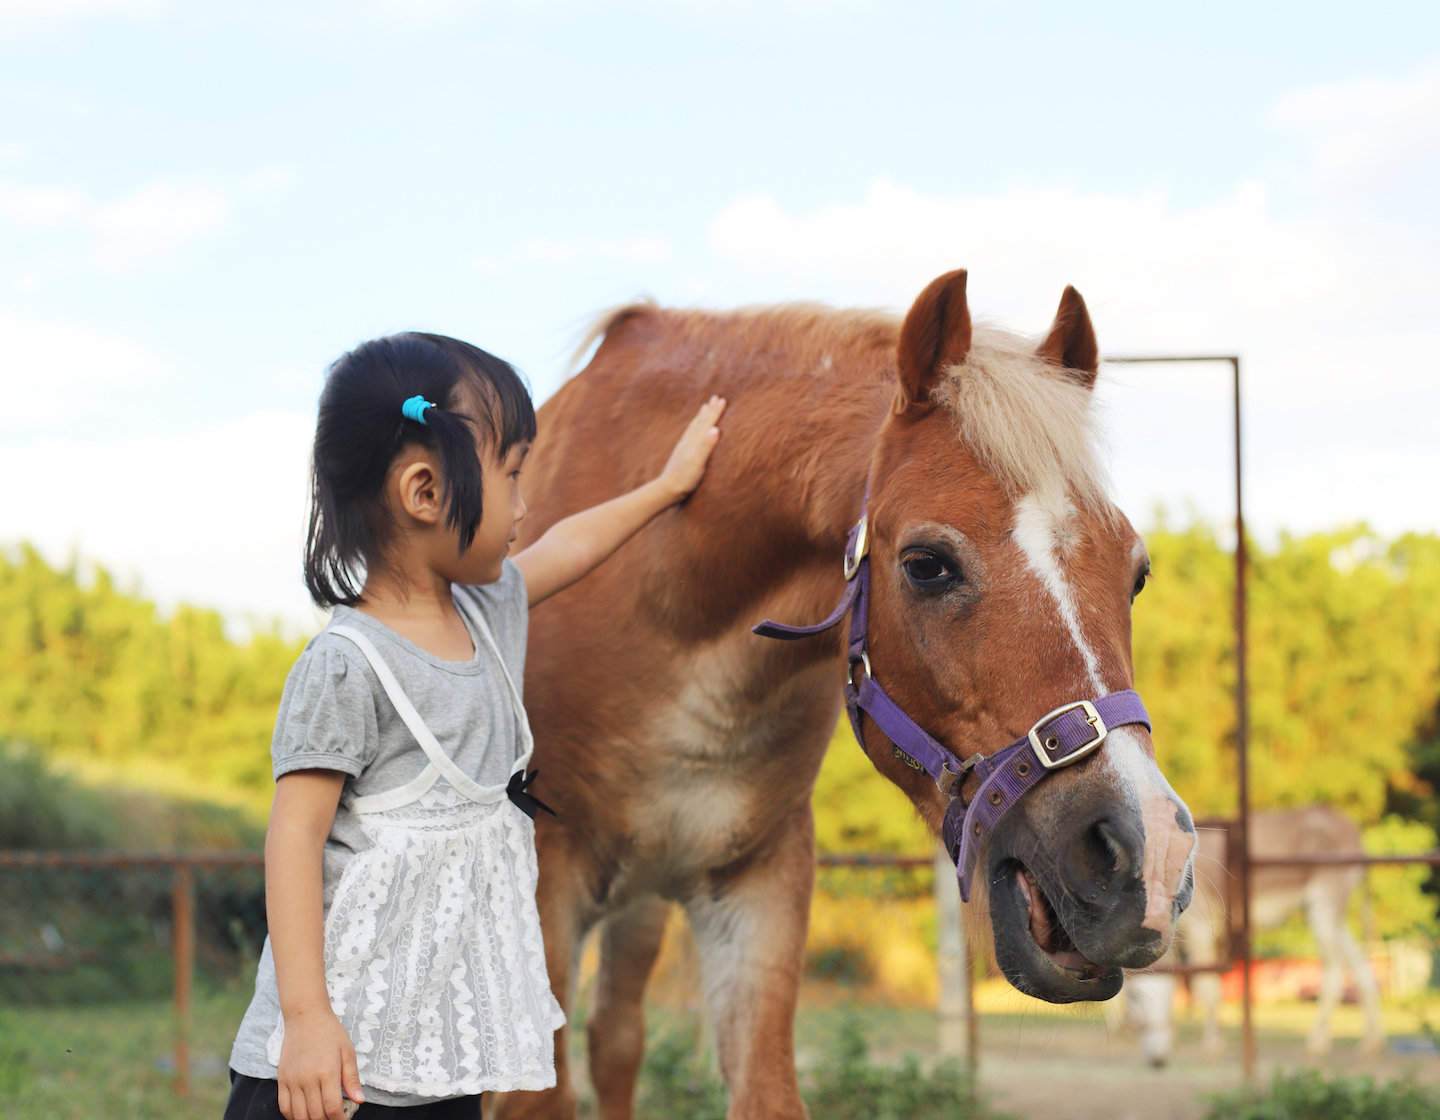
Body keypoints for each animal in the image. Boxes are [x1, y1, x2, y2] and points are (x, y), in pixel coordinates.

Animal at [501, 270, 1198, 1117]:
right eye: (928, 564)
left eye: (1137, 573)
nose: (1149, 854)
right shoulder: (546, 890)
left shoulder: (757, 883)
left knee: (617, 1040)